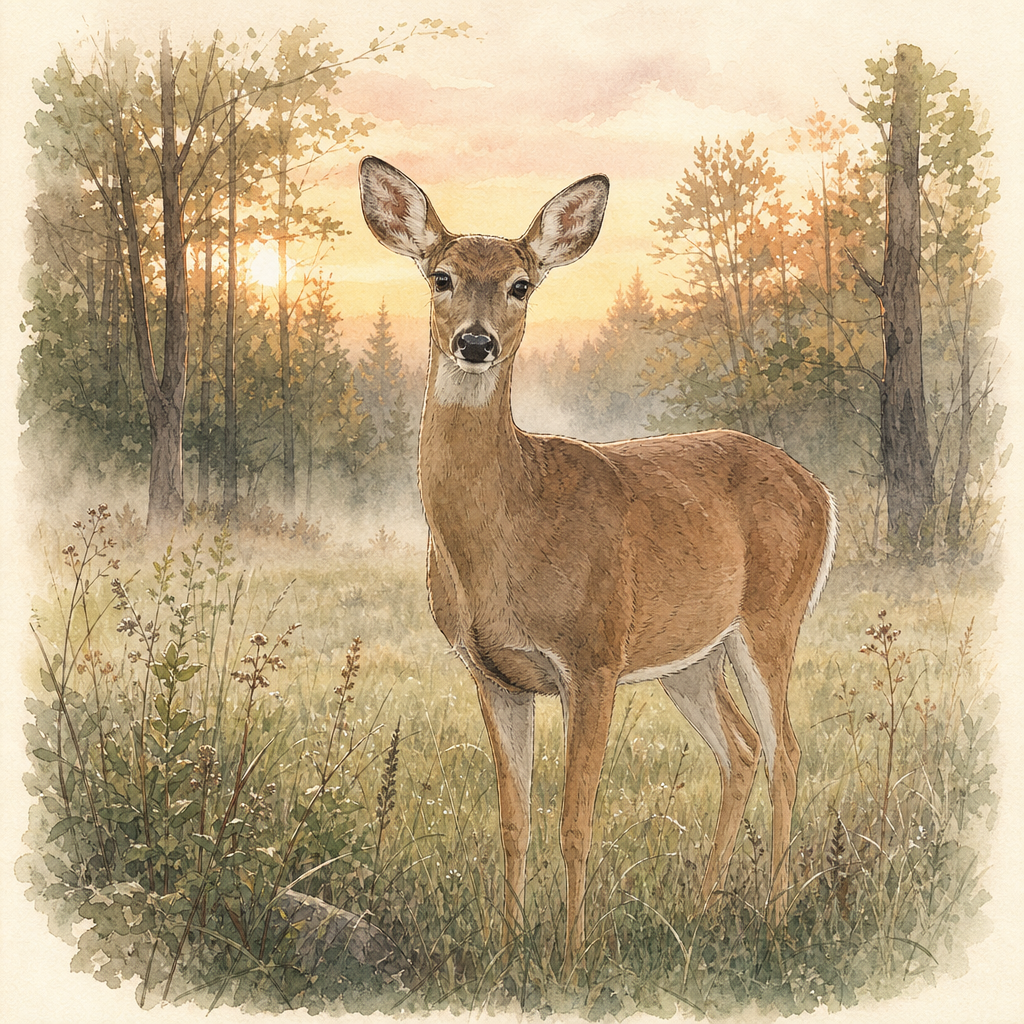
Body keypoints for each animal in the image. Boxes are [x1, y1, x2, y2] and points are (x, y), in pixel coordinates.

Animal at [357, 156, 838, 966]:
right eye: (441, 276)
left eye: (521, 284)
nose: (476, 343)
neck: (506, 532)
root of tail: (821, 490)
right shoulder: (493, 673)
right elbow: (513, 818)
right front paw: (507, 947)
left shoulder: (592, 657)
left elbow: (574, 817)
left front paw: (574, 955)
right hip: (688, 656)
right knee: (742, 751)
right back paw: (703, 910)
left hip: (771, 617)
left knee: (789, 751)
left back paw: (773, 921)